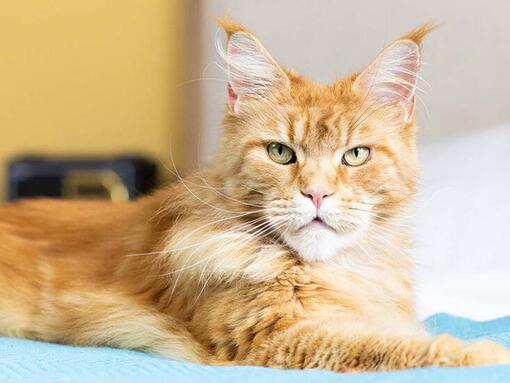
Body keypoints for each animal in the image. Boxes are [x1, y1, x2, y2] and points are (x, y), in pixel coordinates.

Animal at [0, 20, 510, 372]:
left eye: (356, 155)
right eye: (281, 152)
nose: (317, 193)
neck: (331, 273)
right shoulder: (276, 338)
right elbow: (392, 347)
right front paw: (486, 353)